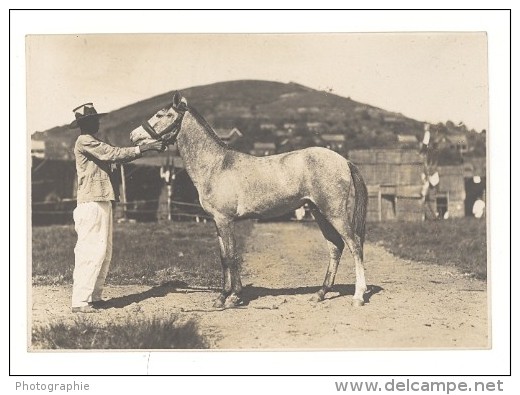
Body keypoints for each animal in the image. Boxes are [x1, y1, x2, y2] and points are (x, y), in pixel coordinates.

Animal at [132, 93, 372, 310]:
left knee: (354, 245)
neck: (217, 166)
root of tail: (344, 161)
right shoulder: (218, 222)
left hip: (334, 213)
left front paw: (233, 297)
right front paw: (222, 297)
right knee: (335, 247)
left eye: (162, 114)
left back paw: (358, 296)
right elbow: (224, 257)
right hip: (319, 212)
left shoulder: (225, 220)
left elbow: (231, 256)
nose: (134, 135)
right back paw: (320, 294)